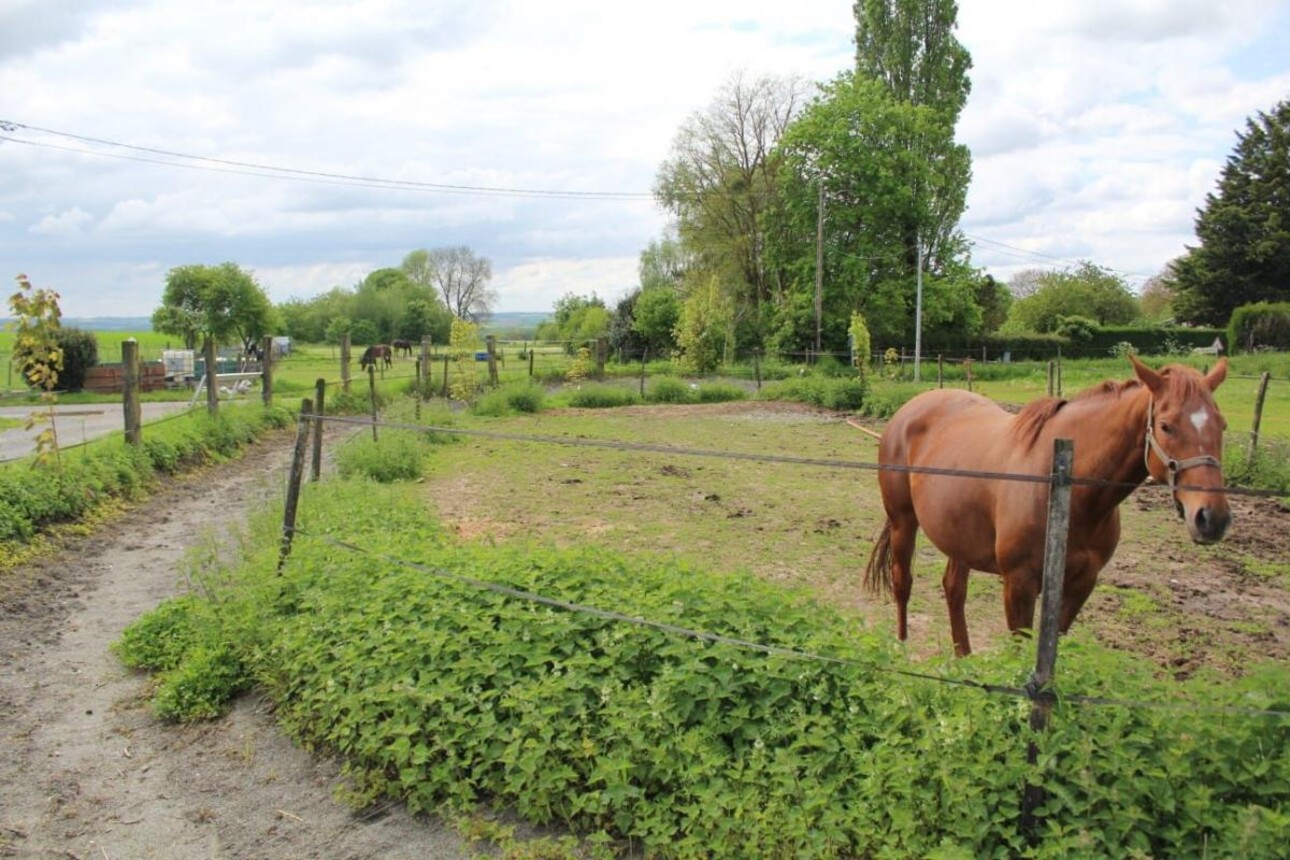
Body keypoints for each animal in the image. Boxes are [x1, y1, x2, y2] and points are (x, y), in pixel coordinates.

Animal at [866, 355, 1228, 660]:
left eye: (1221, 425)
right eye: (1166, 425)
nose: (1212, 518)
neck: (1064, 487)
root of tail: (911, 408)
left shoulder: (1080, 584)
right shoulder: (1019, 584)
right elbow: (1019, 650)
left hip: (959, 536)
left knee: (954, 589)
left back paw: (964, 659)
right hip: (902, 523)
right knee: (902, 582)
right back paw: (900, 647)